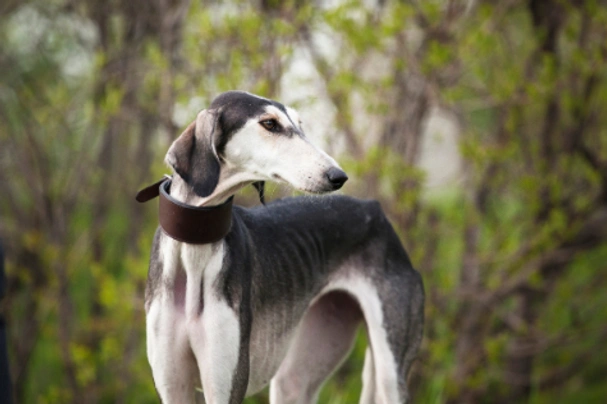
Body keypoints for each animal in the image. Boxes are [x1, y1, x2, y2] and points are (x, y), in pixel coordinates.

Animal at [140, 91, 426, 404]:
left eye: (300, 124)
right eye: (269, 124)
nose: (338, 176)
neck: (195, 246)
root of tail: (375, 211)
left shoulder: (226, 385)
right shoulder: (173, 386)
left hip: (389, 370)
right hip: (298, 372)